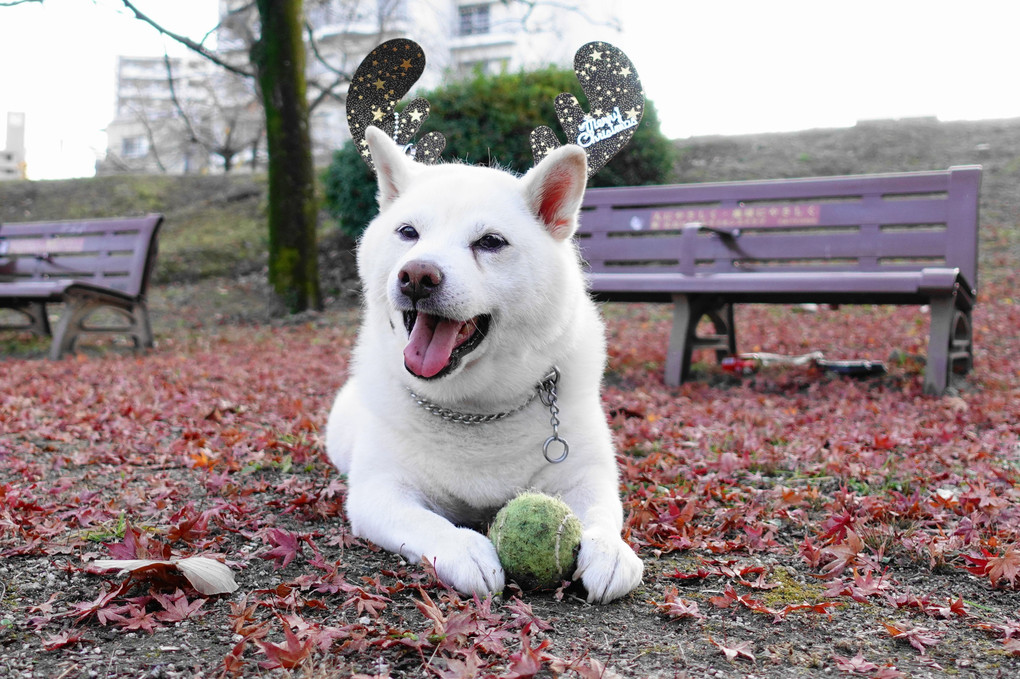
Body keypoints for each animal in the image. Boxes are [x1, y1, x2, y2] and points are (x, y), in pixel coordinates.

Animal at [324, 126, 644, 603]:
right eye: (408, 232)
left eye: (490, 242)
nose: (417, 276)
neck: (475, 410)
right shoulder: (379, 492)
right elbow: (430, 524)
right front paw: (464, 550)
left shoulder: (587, 476)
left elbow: (604, 514)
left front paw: (609, 550)